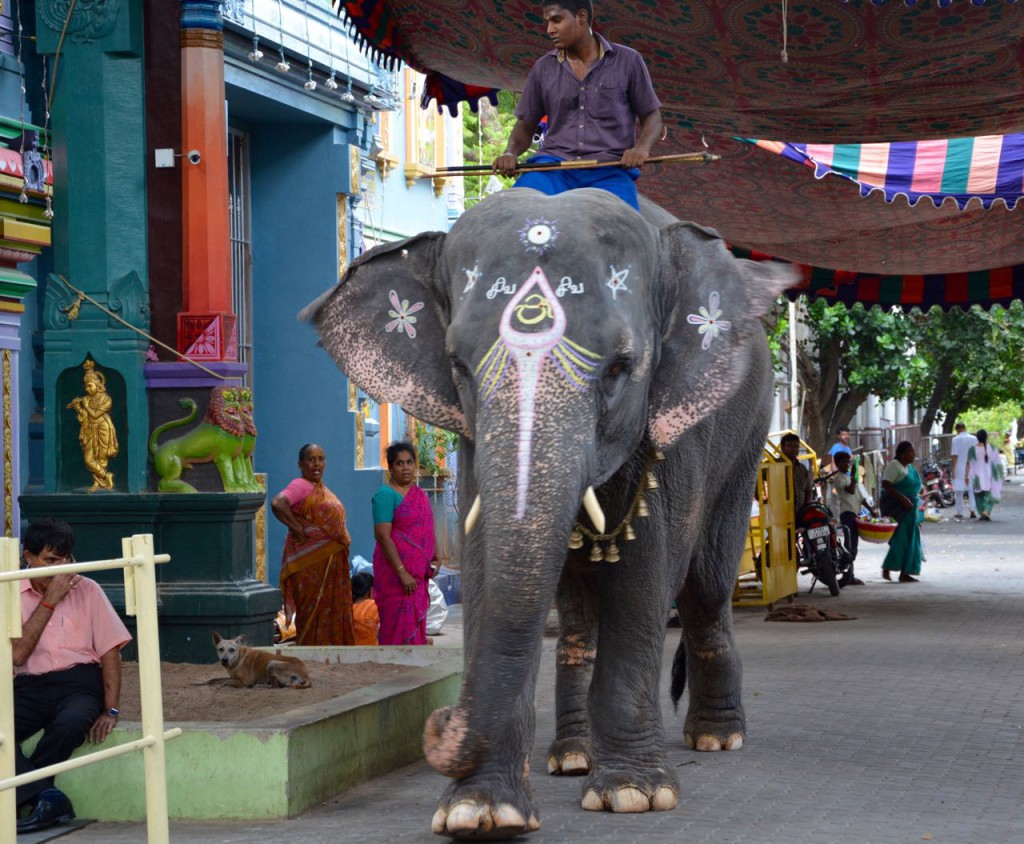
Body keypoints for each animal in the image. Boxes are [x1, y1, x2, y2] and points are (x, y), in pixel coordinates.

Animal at [303, 187, 798, 839]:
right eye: (458, 366)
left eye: (620, 368)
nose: (440, 721)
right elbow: (487, 571)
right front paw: (478, 812)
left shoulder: (676, 427)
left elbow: (645, 577)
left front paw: (634, 795)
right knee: (580, 611)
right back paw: (572, 756)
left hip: (746, 435)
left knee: (707, 586)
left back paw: (717, 738)